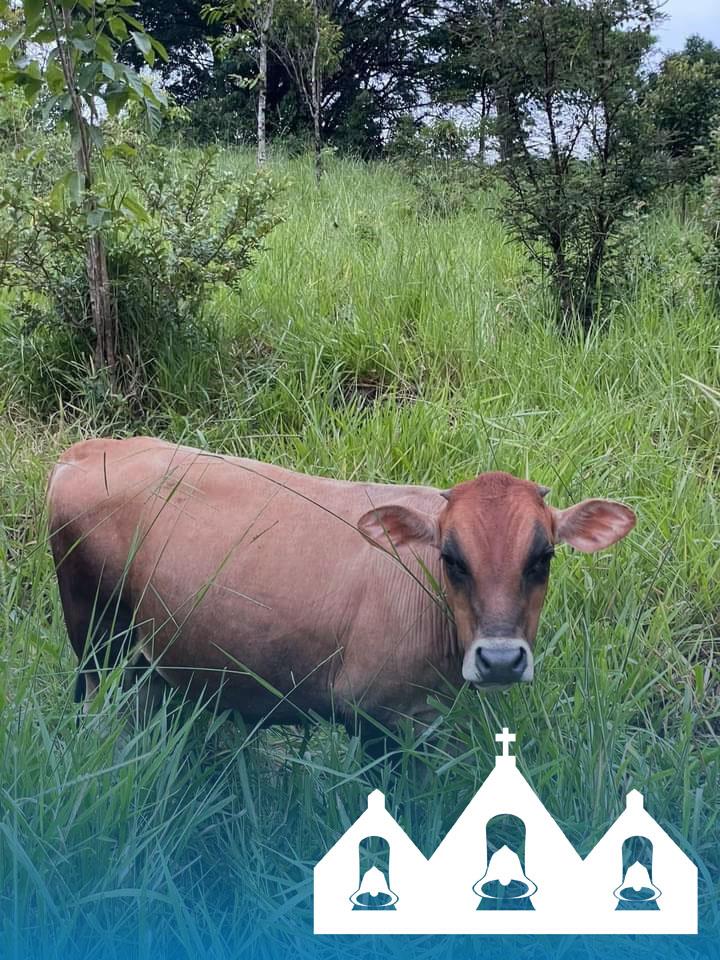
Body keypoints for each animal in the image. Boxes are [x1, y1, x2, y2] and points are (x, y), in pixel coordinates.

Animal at [46, 438, 636, 732]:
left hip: (148, 657)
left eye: (543, 556)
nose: (499, 660)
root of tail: (90, 446)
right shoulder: (379, 715)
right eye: (451, 558)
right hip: (93, 633)